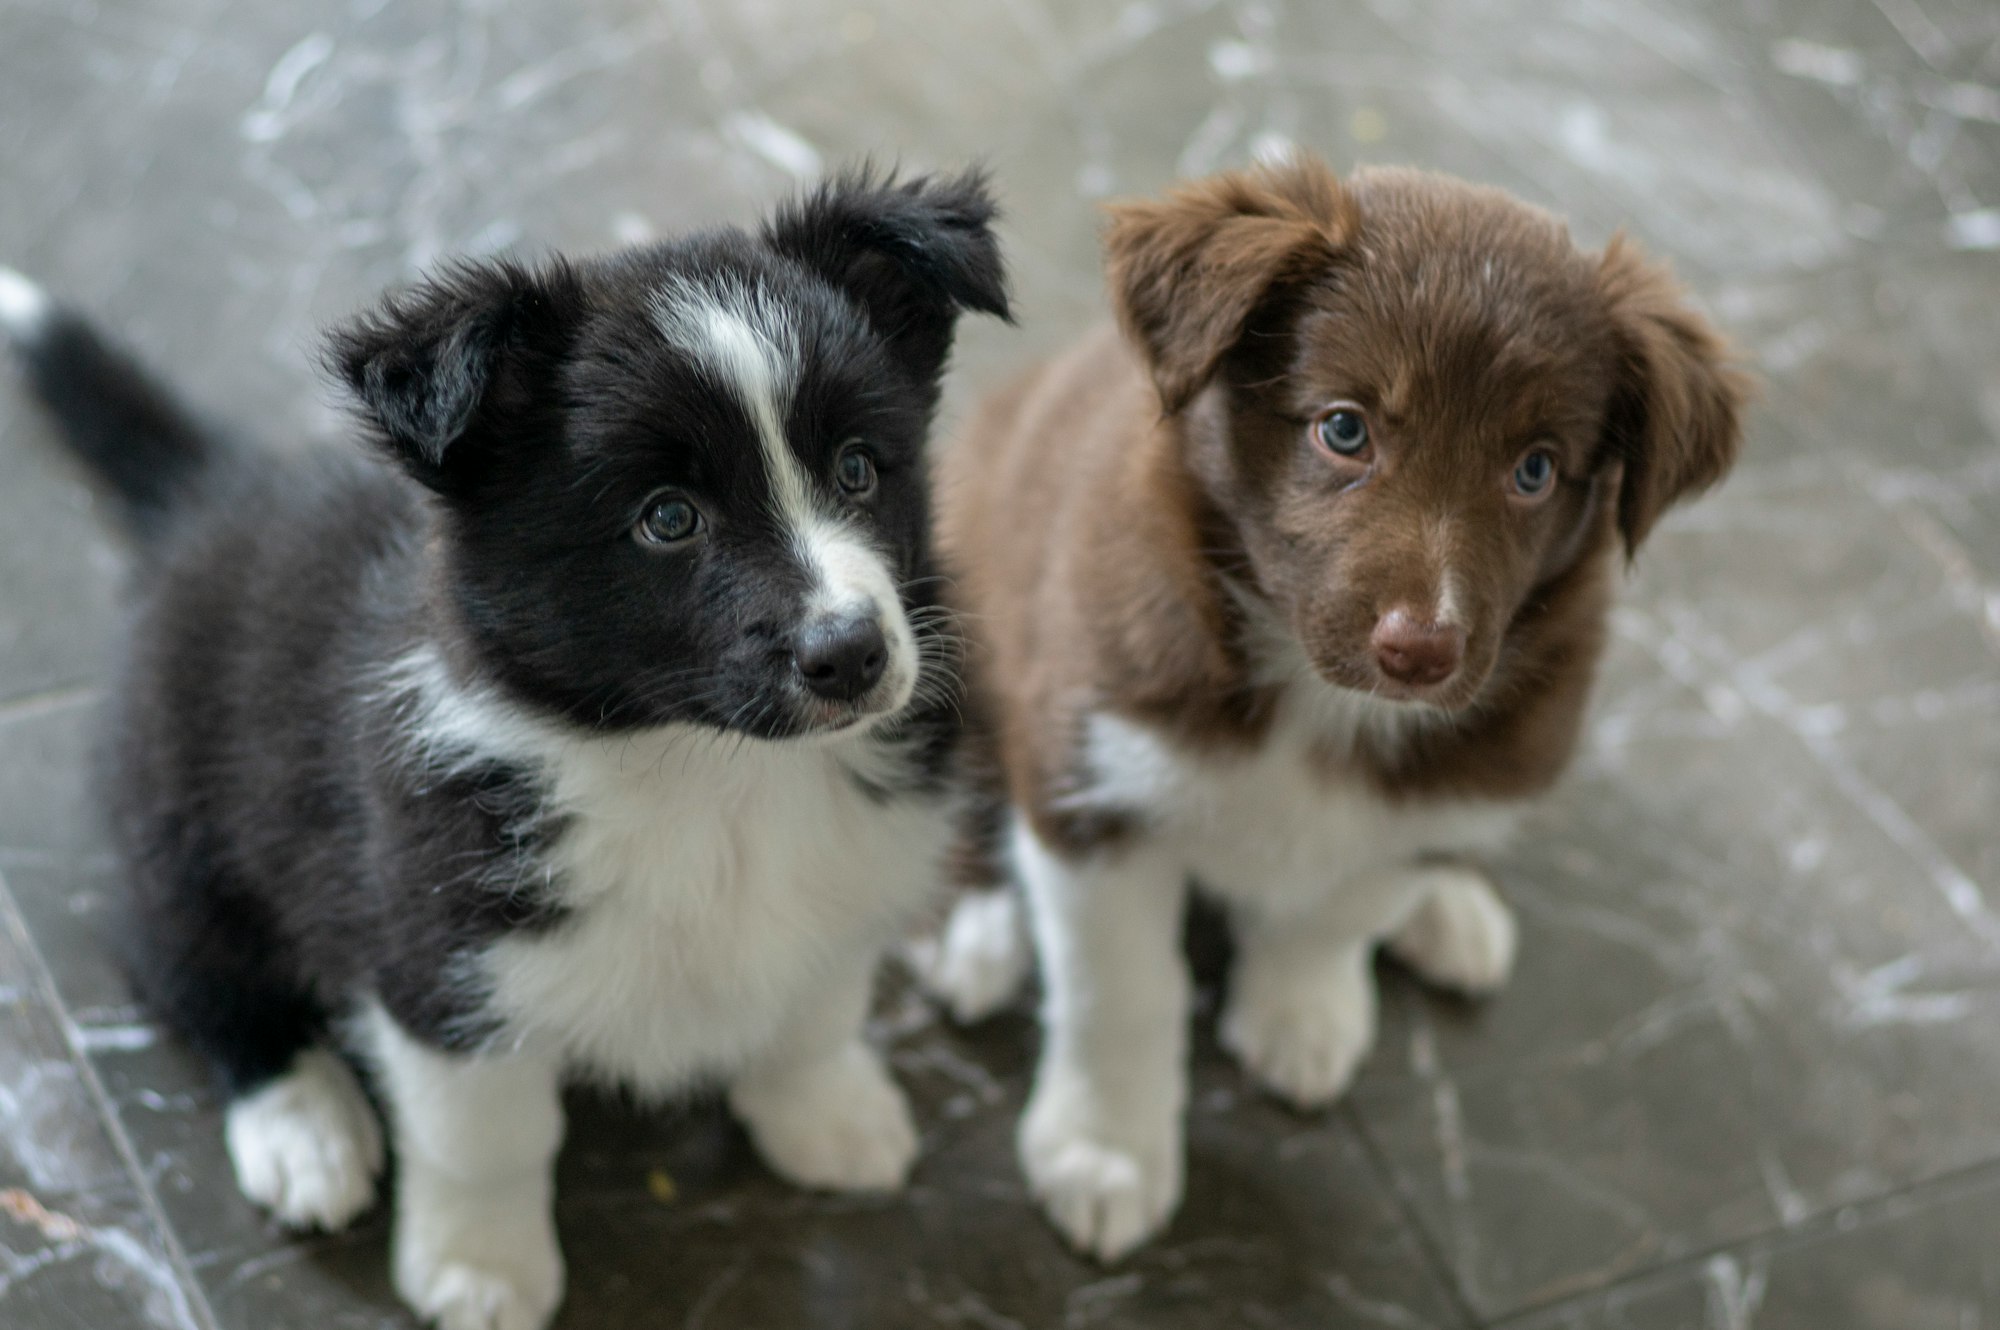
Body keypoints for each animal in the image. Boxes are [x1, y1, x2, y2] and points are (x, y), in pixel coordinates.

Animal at [0, 169, 1000, 1328]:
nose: (852, 652)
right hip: (182, 816)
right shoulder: (437, 948)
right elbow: (487, 1136)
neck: (711, 772)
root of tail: (216, 495)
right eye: (668, 519)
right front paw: (479, 1271)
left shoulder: (853, 874)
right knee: (182, 961)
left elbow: (814, 1010)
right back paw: (303, 1128)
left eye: (856, 469)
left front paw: (832, 1118)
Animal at [916, 156, 1744, 1256]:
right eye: (1343, 428)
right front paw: (1105, 1151)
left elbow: (1345, 902)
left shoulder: (1444, 777)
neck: (1316, 700)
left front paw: (1300, 1012)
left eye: (1533, 469)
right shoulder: (1093, 775)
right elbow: (1118, 990)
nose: (1419, 650)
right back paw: (971, 929)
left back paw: (1449, 904)